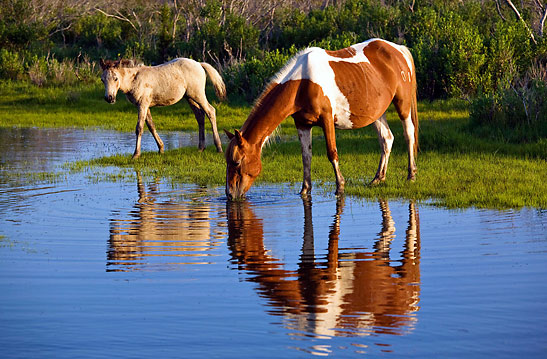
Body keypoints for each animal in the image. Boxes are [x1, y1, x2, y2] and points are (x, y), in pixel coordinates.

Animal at [226, 40, 420, 201]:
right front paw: (305, 190)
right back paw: (378, 178)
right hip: (377, 113)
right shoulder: (302, 124)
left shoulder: (327, 119)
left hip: (402, 105)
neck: (302, 83)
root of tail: (398, 49)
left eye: (237, 162)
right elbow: (306, 156)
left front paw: (340, 187)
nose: (230, 194)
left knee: (408, 134)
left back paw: (411, 176)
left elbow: (332, 153)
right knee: (387, 139)